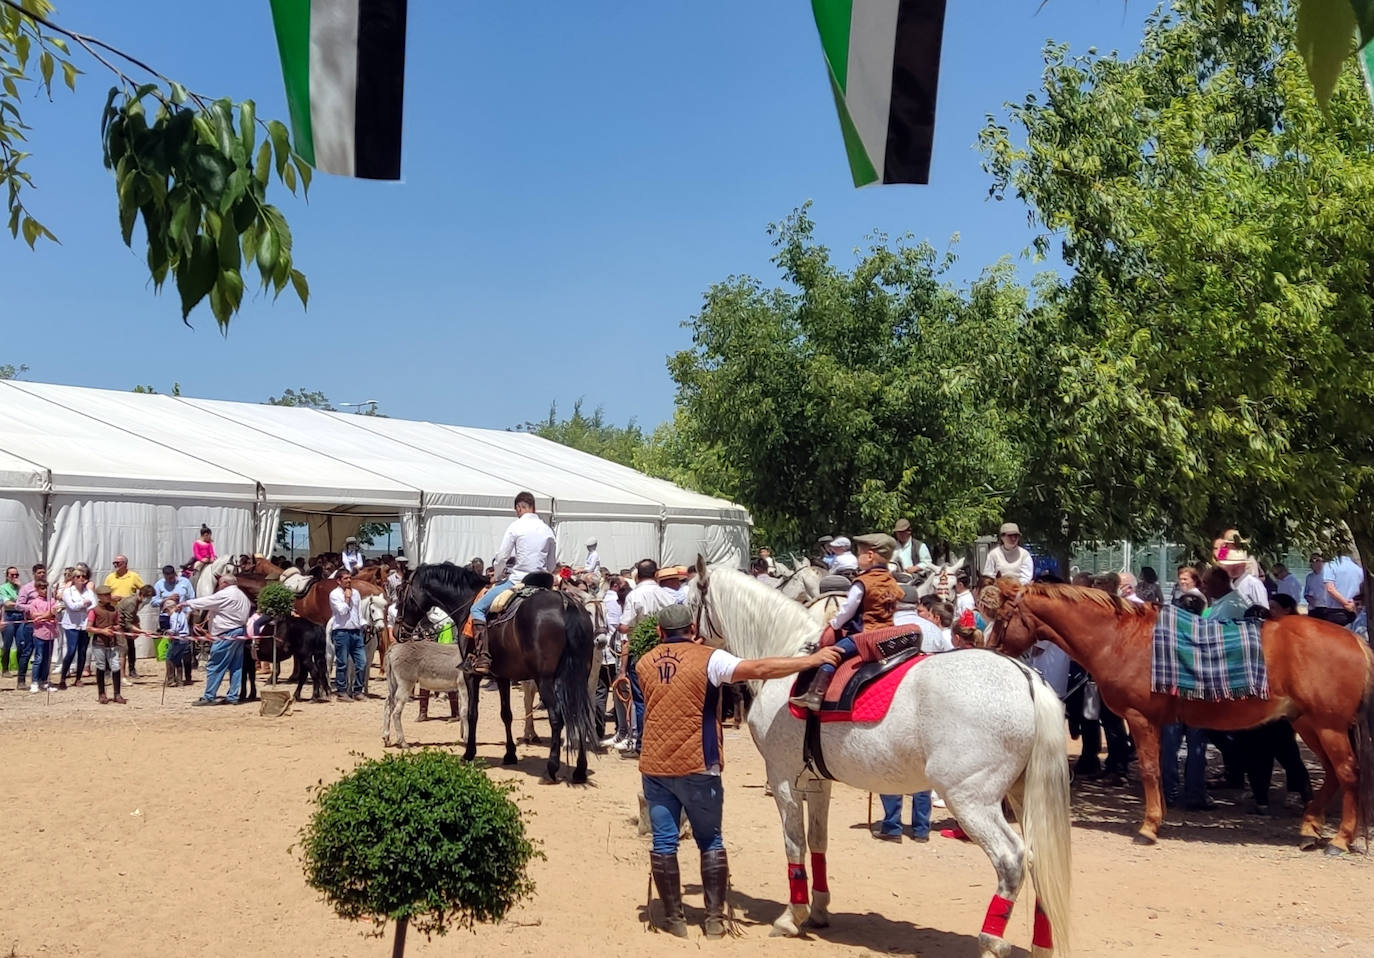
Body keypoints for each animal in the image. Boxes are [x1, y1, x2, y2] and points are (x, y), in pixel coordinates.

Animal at [392, 563, 596, 780]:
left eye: (400, 591)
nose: (397, 632)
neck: (467, 603)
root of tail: (567, 603)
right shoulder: (503, 677)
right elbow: (506, 714)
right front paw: (510, 754)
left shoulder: (471, 675)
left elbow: (472, 713)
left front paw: (469, 753)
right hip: (578, 678)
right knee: (581, 715)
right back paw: (580, 770)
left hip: (546, 680)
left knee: (557, 717)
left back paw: (552, 767)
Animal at [687, 560, 1071, 956]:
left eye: (690, 602)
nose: (684, 638)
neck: (791, 656)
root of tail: (1025, 677)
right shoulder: (816, 781)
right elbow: (818, 841)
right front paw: (819, 910)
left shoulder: (783, 777)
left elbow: (794, 843)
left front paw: (792, 916)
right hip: (1022, 795)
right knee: (1039, 858)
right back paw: (1042, 944)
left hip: (971, 800)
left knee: (1011, 859)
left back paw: (991, 941)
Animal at [983, 580, 1374, 846]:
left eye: (1002, 617)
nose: (990, 652)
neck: (1120, 638)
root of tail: (1355, 641)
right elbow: (1156, 770)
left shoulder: (1140, 719)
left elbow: (1150, 771)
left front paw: (1148, 827)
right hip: (1309, 723)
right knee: (1334, 773)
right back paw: (1310, 828)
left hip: (1328, 725)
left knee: (1348, 773)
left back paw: (1340, 838)